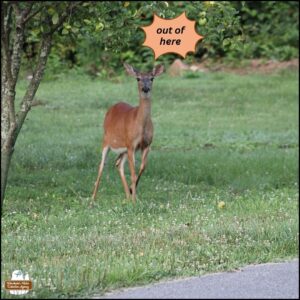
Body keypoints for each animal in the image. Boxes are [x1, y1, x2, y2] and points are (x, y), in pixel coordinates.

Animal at [91, 63, 164, 204]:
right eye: (138, 78)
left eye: (152, 78)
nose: (145, 88)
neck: (140, 125)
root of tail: (111, 108)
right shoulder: (131, 144)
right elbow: (133, 174)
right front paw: (135, 200)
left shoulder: (146, 145)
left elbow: (142, 168)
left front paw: (132, 193)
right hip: (106, 141)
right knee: (101, 166)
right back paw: (93, 199)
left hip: (124, 149)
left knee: (118, 164)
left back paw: (127, 196)